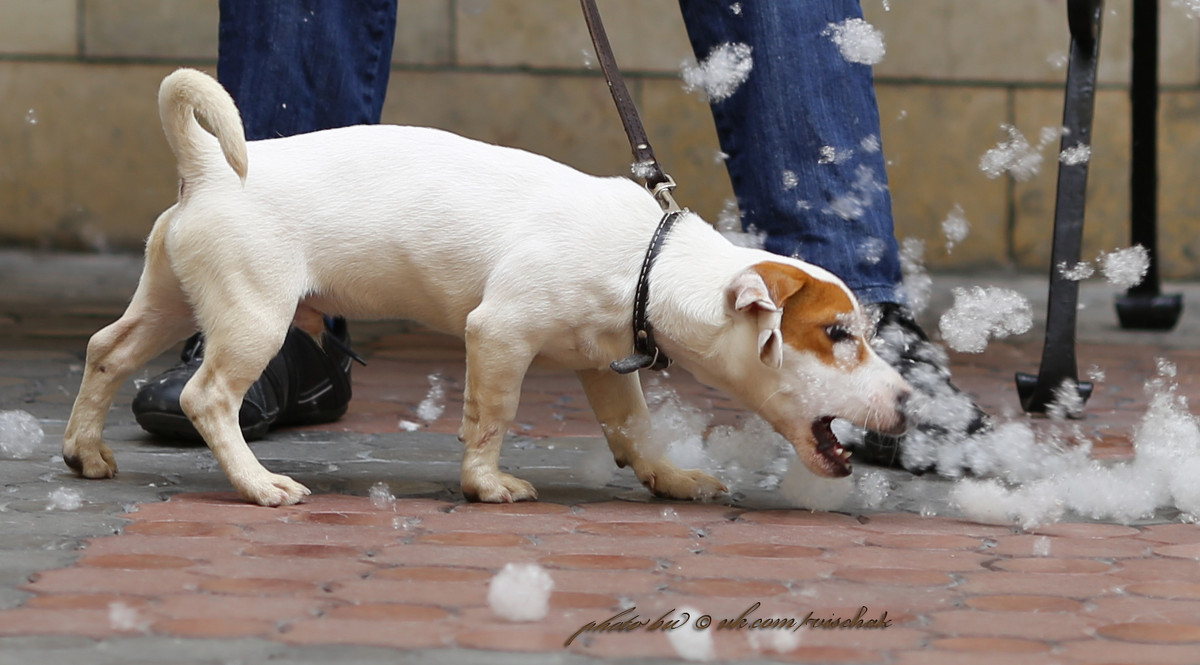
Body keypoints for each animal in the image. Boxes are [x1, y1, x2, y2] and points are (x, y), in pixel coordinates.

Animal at [63, 68, 907, 501]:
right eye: (838, 335)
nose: (908, 400)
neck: (649, 259)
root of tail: (210, 168)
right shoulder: (498, 334)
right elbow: (490, 416)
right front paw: (486, 482)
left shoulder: (602, 362)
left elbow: (634, 427)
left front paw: (667, 476)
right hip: (253, 316)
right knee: (207, 396)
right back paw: (257, 482)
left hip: (172, 299)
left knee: (107, 349)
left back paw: (84, 451)